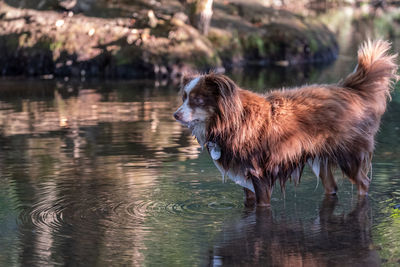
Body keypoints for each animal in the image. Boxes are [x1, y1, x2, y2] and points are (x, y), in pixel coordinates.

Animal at [173, 40, 398, 207]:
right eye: (184, 98)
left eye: (198, 100)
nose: (175, 115)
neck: (232, 121)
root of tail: (350, 89)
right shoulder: (245, 175)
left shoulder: (259, 173)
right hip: (322, 158)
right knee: (332, 187)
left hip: (348, 155)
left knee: (364, 183)